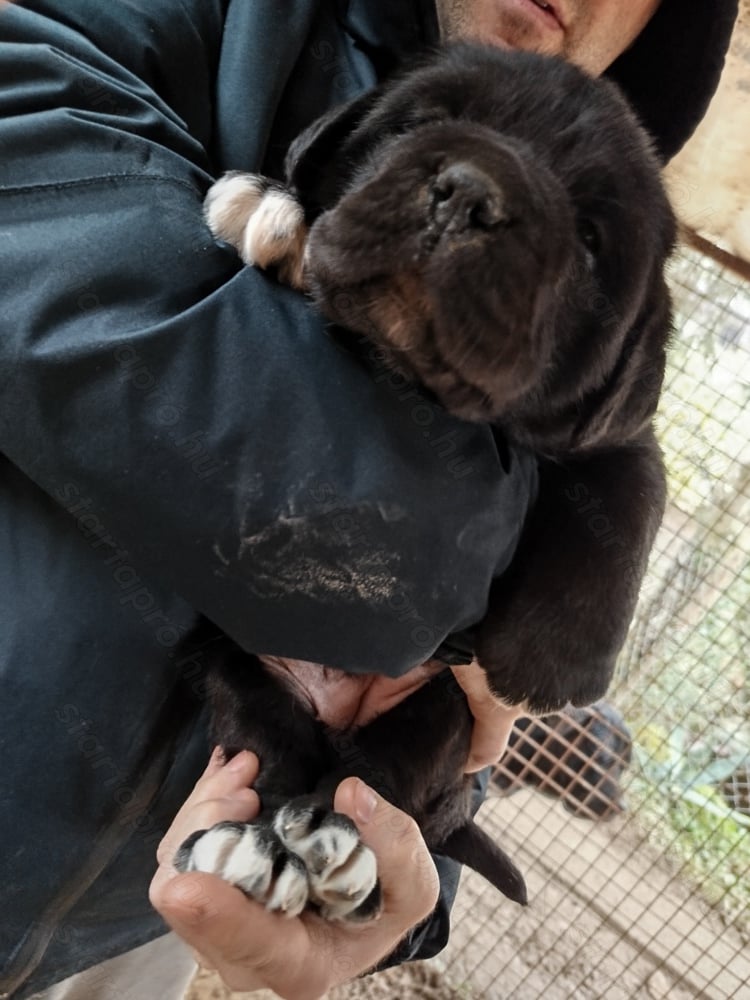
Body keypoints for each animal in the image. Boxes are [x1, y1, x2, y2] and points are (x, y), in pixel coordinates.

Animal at [176, 45, 676, 920]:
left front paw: (555, 660)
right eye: (420, 123)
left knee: (370, 783)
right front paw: (274, 207)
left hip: (437, 713)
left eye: (590, 236)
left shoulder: (619, 422)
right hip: (241, 668)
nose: (472, 191)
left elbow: (631, 488)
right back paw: (259, 850)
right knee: (276, 758)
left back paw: (331, 853)